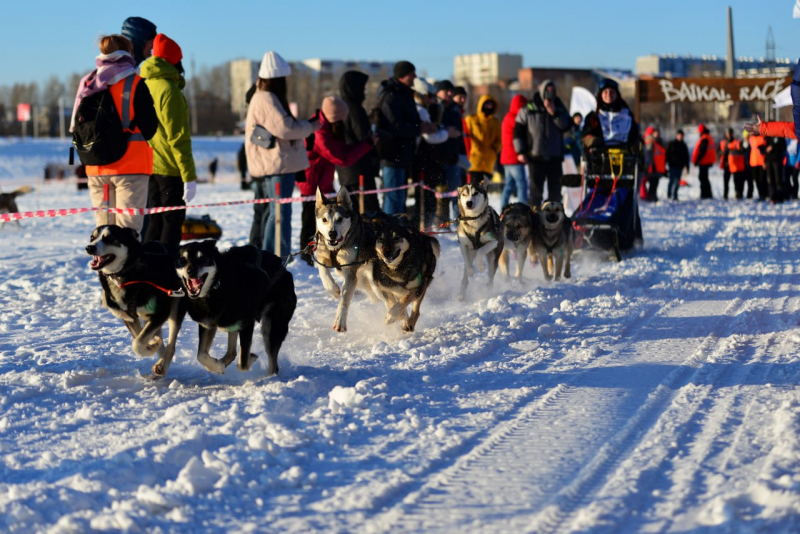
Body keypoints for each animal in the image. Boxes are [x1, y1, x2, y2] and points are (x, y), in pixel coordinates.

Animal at [85, 224, 185, 378]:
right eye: (92, 237)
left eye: (109, 238)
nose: (89, 247)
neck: (123, 276)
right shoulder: (129, 318)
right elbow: (139, 337)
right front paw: (152, 345)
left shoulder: (161, 313)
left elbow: (137, 344)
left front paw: (151, 346)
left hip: (175, 307)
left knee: (171, 343)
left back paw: (161, 365)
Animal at [175, 243, 296, 376]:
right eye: (182, 260)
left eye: (202, 258)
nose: (191, 271)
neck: (217, 287)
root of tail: (285, 270)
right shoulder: (207, 325)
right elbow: (201, 355)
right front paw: (217, 367)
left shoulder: (247, 323)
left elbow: (243, 364)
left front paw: (248, 359)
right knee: (232, 352)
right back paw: (223, 362)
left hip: (272, 327)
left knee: (273, 364)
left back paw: (269, 376)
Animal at [314, 186, 380, 332]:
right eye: (324, 219)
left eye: (340, 219)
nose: (332, 233)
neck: (336, 248)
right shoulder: (322, 256)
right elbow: (323, 271)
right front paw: (332, 288)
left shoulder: (350, 272)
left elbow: (344, 300)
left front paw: (340, 321)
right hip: (361, 280)